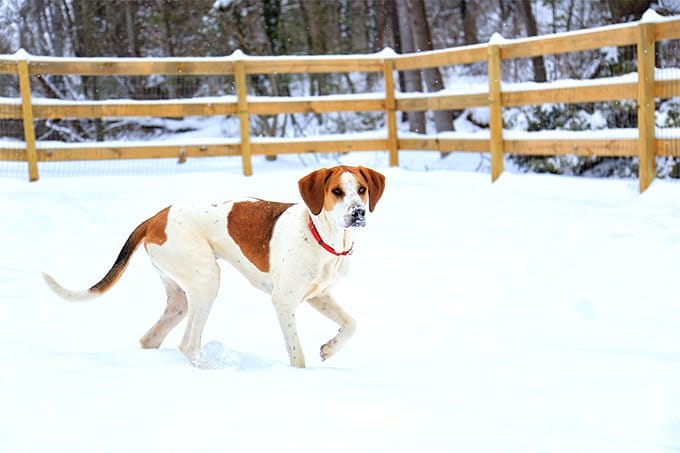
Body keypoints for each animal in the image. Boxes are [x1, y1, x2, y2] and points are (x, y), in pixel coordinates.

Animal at [42, 166, 386, 368]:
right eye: (336, 192)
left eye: (362, 190)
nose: (358, 213)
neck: (323, 235)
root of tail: (156, 217)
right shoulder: (284, 301)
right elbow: (297, 355)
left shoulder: (319, 295)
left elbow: (352, 325)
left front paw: (330, 349)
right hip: (207, 281)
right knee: (188, 344)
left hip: (180, 298)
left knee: (150, 339)